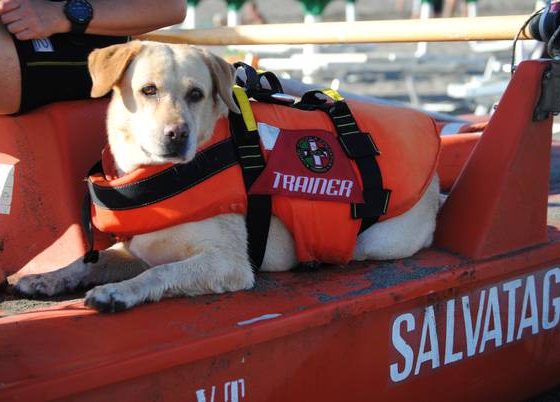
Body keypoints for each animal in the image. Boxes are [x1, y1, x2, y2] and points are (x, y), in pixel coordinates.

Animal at [15, 41, 440, 312]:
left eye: (197, 94)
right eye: (148, 90)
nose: (177, 134)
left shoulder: (226, 263)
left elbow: (160, 272)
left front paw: (118, 292)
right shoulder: (138, 248)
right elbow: (92, 260)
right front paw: (48, 277)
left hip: (376, 242)